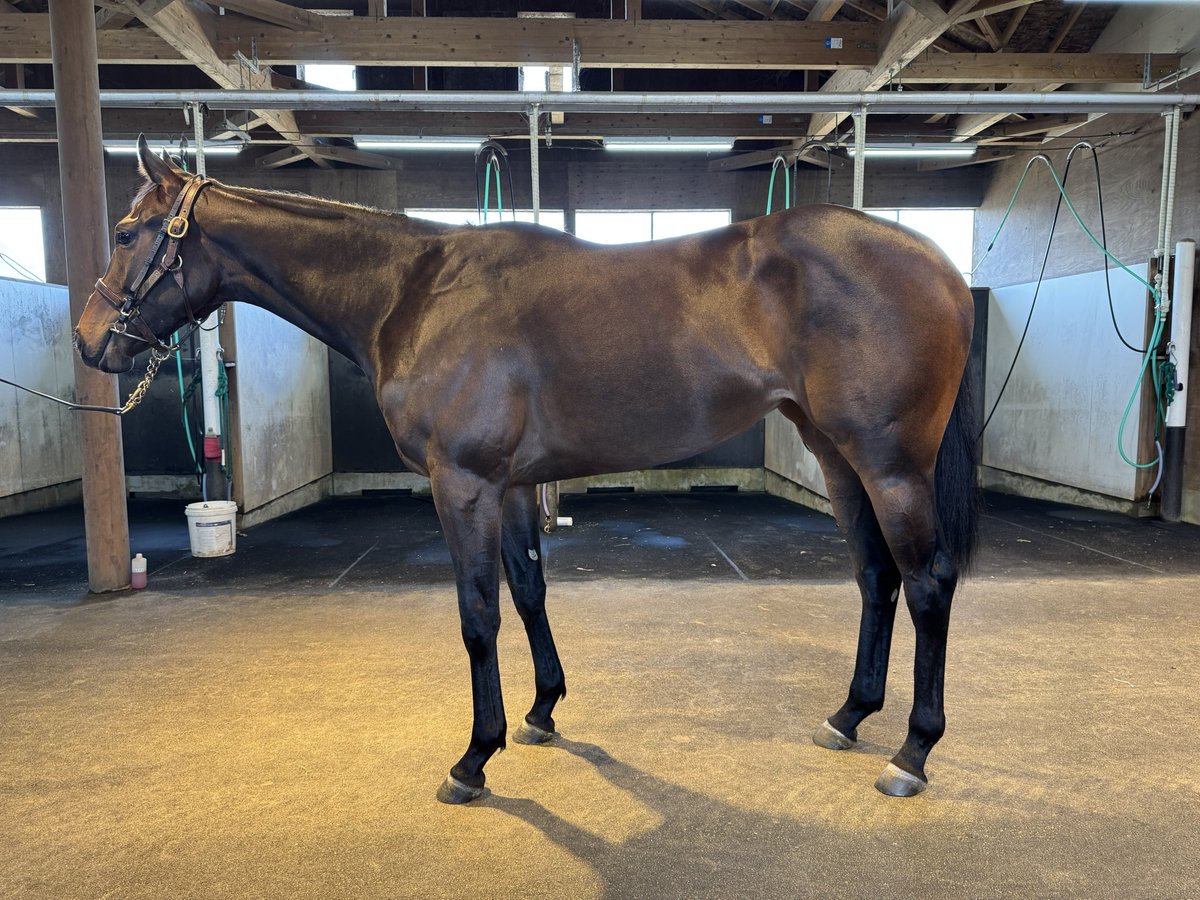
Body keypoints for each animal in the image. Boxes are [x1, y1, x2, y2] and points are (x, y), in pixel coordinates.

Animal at [75, 136, 978, 803]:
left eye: (124, 234)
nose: (89, 342)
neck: (414, 292)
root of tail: (939, 264)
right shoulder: (506, 487)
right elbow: (531, 591)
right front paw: (543, 712)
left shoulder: (462, 483)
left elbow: (478, 615)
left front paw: (475, 757)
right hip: (835, 456)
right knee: (875, 577)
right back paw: (849, 716)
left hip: (890, 463)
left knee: (927, 584)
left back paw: (911, 753)